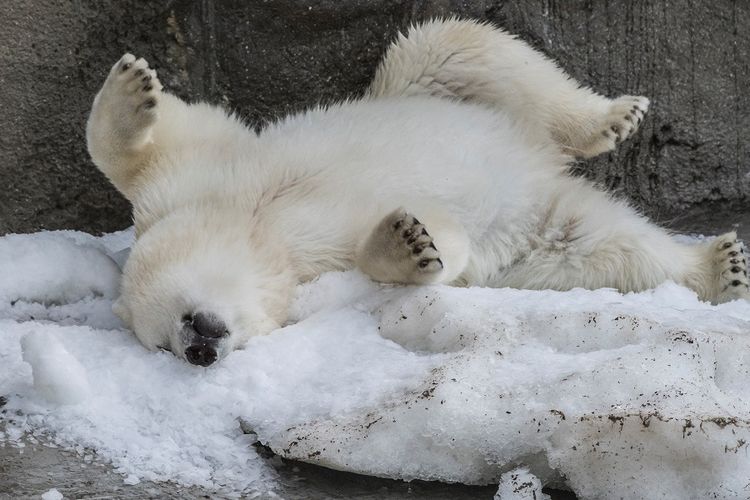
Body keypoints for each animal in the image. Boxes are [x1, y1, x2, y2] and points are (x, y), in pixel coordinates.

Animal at [86, 18, 748, 368]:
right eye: (161, 346)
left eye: (176, 324)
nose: (200, 348)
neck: (257, 230)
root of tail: (537, 163)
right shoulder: (315, 274)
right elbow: (440, 253)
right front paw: (411, 240)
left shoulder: (204, 179)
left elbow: (171, 138)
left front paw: (132, 85)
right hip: (539, 234)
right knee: (603, 245)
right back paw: (718, 264)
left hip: (434, 92)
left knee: (456, 47)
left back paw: (614, 117)